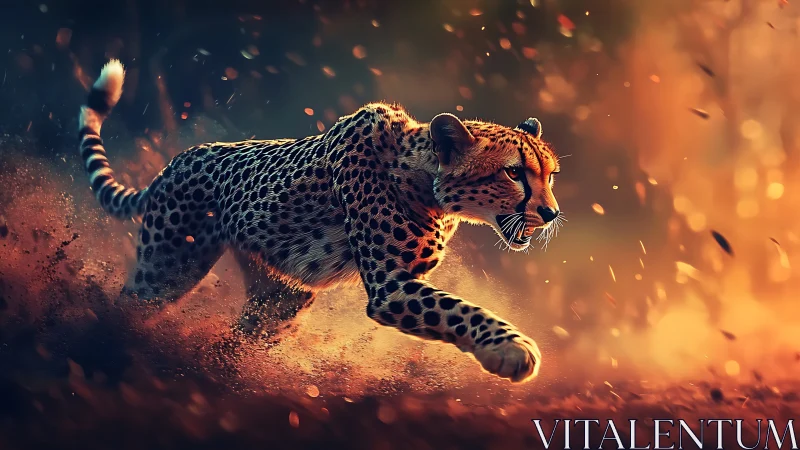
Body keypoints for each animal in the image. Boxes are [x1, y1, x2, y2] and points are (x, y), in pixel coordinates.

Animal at [77, 59, 563, 383]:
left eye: (550, 175)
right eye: (514, 173)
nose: (551, 213)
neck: (427, 182)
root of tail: (176, 161)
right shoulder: (390, 288)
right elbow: (458, 309)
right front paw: (511, 348)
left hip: (280, 301)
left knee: (237, 341)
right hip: (169, 268)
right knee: (132, 304)